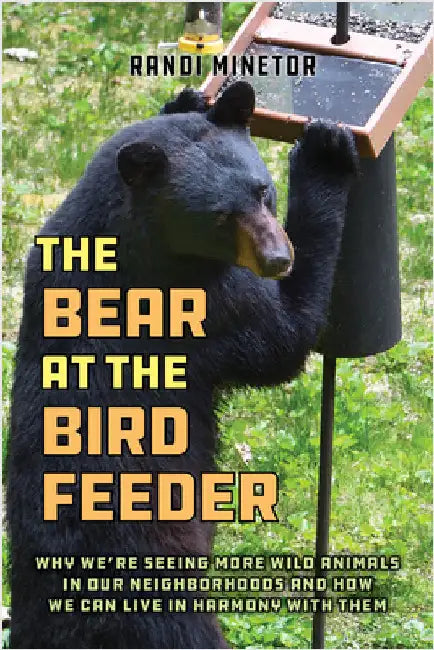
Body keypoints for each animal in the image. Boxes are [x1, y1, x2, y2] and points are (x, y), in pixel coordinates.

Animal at [7, 81, 358, 649]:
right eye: (220, 216)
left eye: (262, 192)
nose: (278, 259)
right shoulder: (205, 303)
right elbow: (283, 335)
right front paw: (325, 151)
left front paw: (189, 98)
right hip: (167, 608)